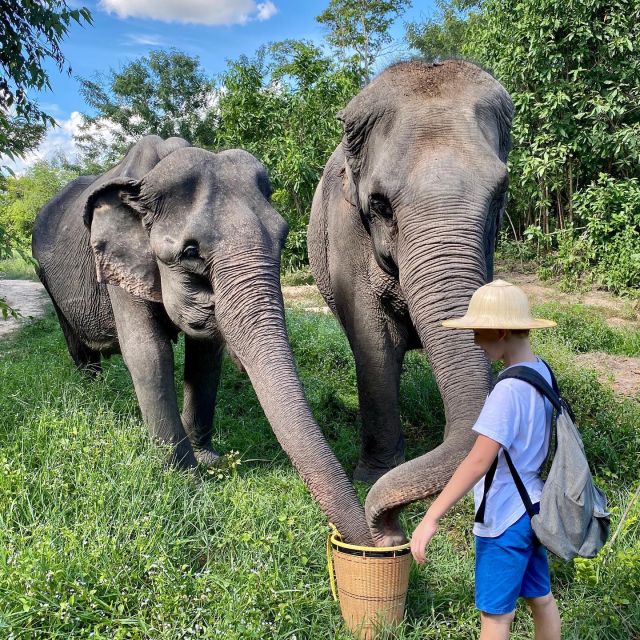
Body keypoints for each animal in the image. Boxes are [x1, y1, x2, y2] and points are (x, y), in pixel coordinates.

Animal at [35, 135, 372, 544]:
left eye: (282, 236)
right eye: (191, 253)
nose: (388, 541)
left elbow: (206, 354)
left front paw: (209, 461)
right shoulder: (119, 262)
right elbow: (148, 356)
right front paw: (186, 481)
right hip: (46, 279)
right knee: (77, 345)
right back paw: (92, 396)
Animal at [308, 60, 512, 544]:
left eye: (500, 195)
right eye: (380, 206)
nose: (389, 528)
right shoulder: (346, 230)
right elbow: (374, 344)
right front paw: (372, 475)